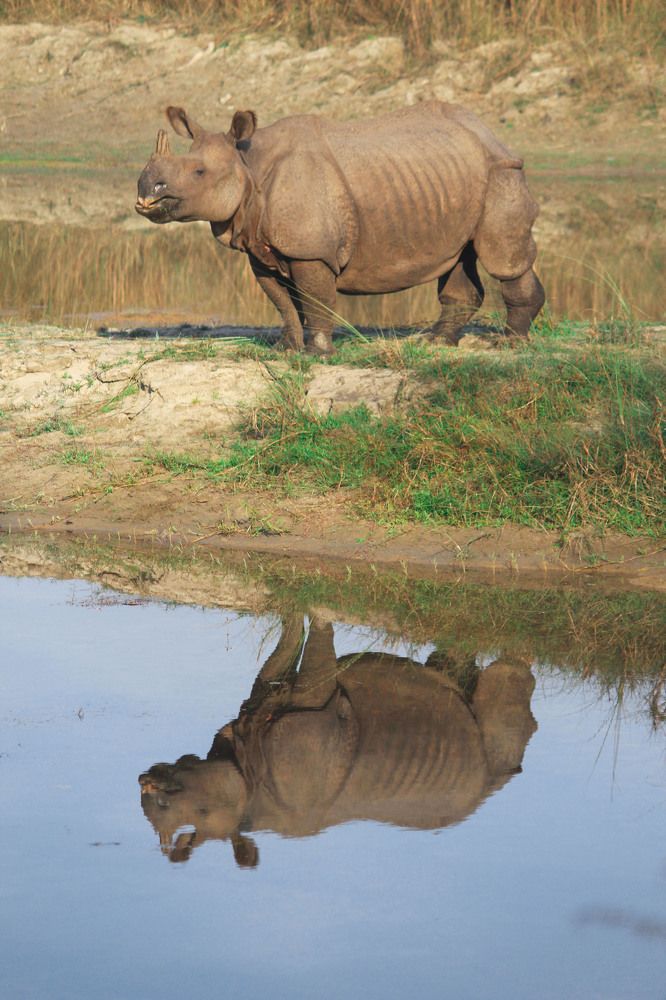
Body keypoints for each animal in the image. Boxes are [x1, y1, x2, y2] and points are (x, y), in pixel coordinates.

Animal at [136, 102, 545, 355]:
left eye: (198, 172)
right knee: (461, 255)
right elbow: (283, 302)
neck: (248, 163)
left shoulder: (310, 249)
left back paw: (510, 344)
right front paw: (286, 349)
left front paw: (317, 353)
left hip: (501, 171)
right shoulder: (259, 249)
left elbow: (315, 298)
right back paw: (435, 343)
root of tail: (487, 132)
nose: (146, 190)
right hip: (455, 177)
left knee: (500, 258)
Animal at [139, 617, 537, 866]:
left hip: (491, 759)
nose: (146, 785)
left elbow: (306, 645)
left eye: (203, 811)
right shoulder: (256, 711)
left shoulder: (315, 699)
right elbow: (283, 650)